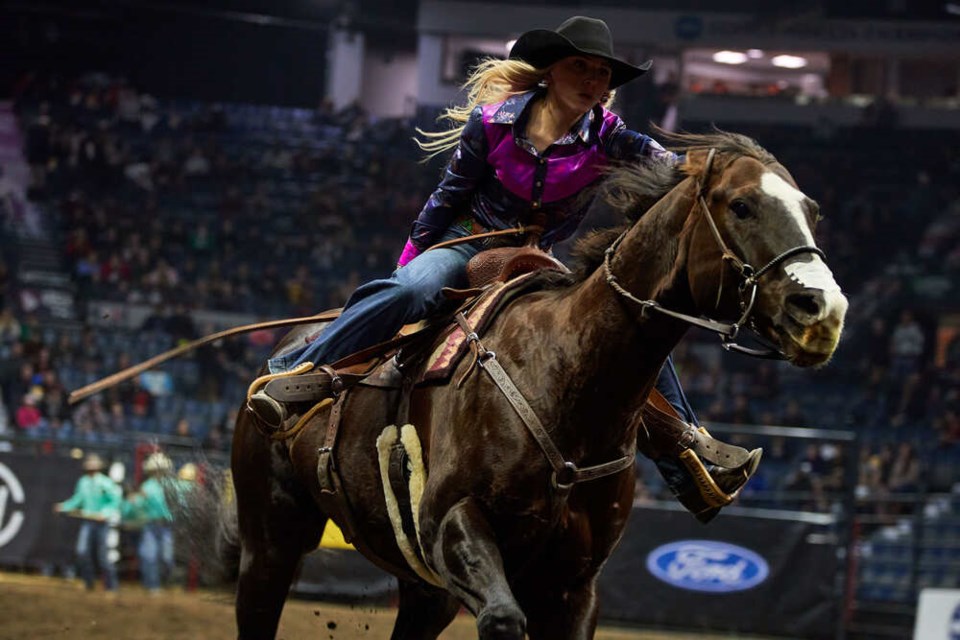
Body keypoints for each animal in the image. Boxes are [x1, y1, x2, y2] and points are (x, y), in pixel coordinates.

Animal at [227, 131, 848, 640]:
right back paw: (289, 390)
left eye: (812, 212)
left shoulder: (572, 588)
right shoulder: (451, 525)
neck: (567, 379)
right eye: (741, 205)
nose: (823, 311)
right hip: (270, 542)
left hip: (422, 589)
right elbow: (502, 618)